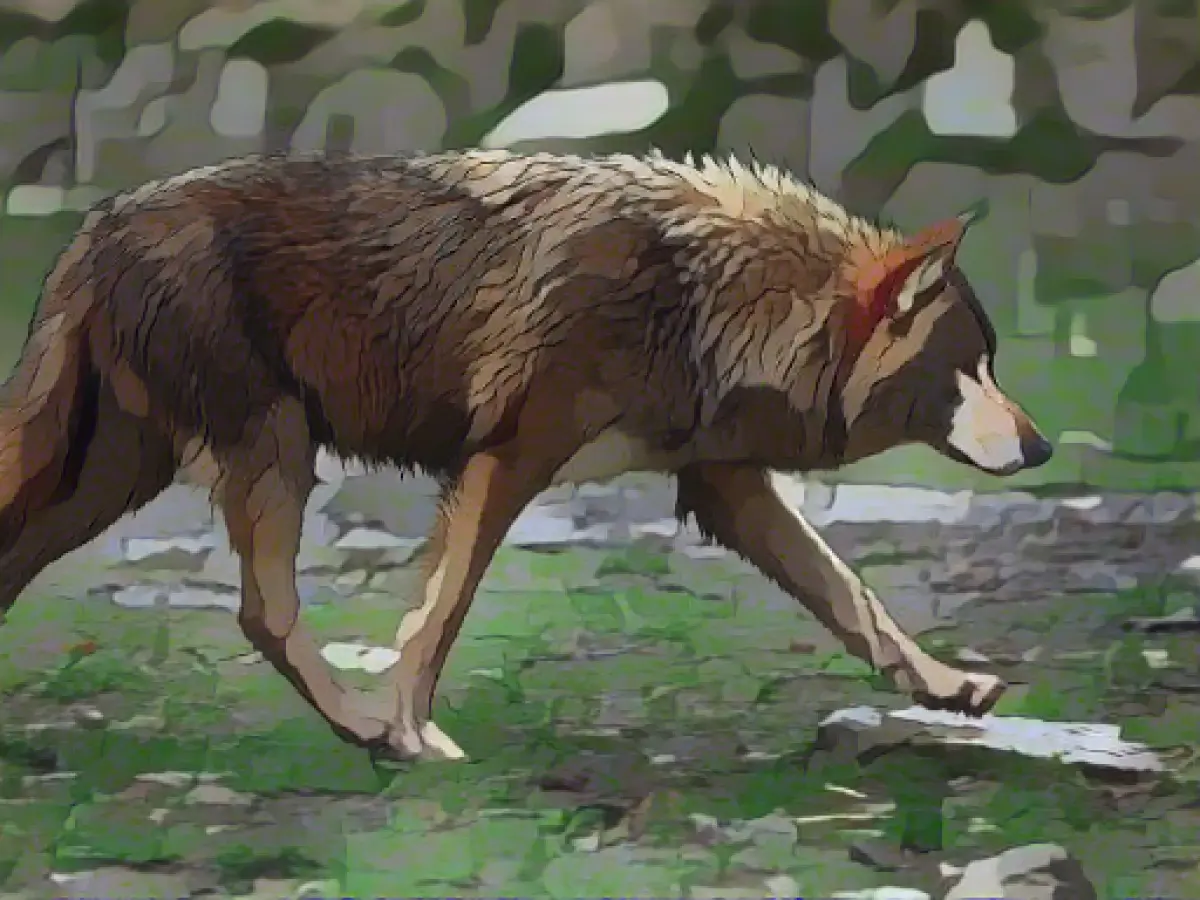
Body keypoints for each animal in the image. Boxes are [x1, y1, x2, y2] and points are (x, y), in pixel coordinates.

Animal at [0, 150, 1052, 761]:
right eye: (970, 369)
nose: (1042, 447)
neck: (710, 294)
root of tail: (96, 223)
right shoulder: (505, 461)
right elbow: (440, 614)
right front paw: (411, 729)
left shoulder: (725, 487)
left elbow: (856, 602)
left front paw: (949, 688)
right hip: (269, 452)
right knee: (265, 613)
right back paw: (368, 732)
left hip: (114, 477)